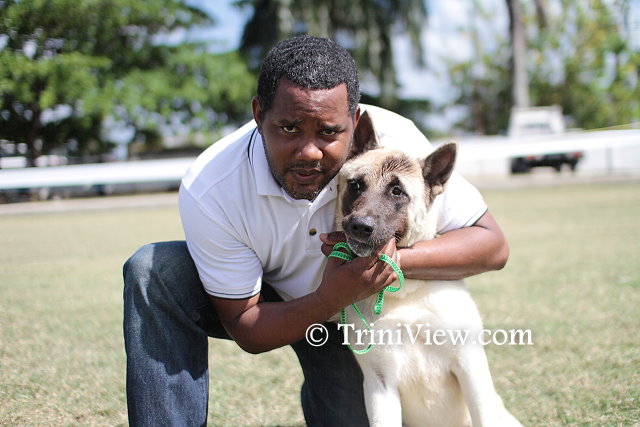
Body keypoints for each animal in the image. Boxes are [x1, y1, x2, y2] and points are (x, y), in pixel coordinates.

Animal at [332, 112, 522, 427]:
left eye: (397, 191)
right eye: (356, 185)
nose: (360, 226)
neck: (404, 294)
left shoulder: (470, 368)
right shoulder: (380, 385)